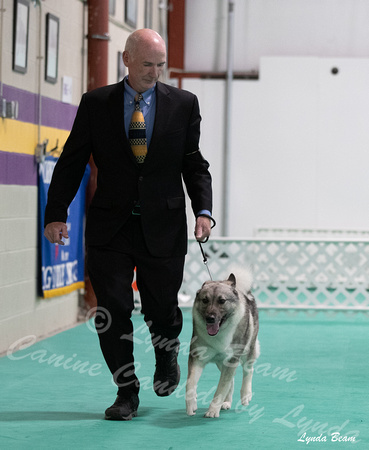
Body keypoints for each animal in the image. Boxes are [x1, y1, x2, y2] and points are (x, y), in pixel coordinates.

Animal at [184, 268, 258, 418]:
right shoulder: (197, 358)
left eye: (222, 301)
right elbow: (190, 383)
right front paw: (191, 404)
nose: (210, 318)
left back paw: (245, 395)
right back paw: (227, 402)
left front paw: (212, 410)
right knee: (232, 381)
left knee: (248, 370)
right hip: (220, 363)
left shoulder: (231, 360)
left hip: (248, 350)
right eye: (205, 300)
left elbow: (220, 389)